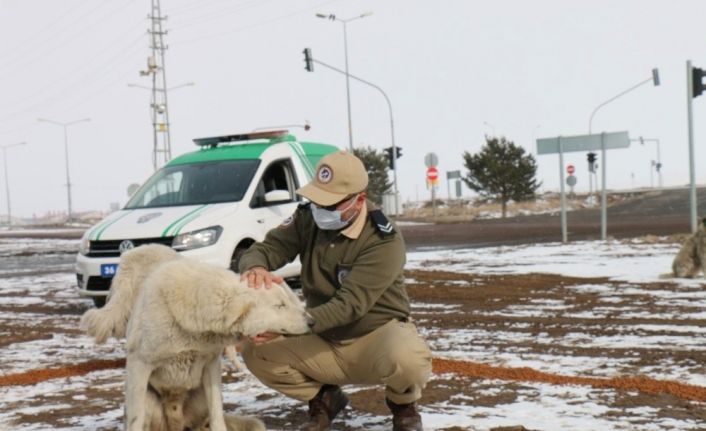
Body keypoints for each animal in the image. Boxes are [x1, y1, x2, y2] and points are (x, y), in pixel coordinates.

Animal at [80, 245, 310, 430]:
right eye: (280, 305)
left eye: (290, 301)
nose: (312, 321)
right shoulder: (139, 366)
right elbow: (135, 421)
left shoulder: (211, 365)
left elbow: (218, 416)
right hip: (146, 399)